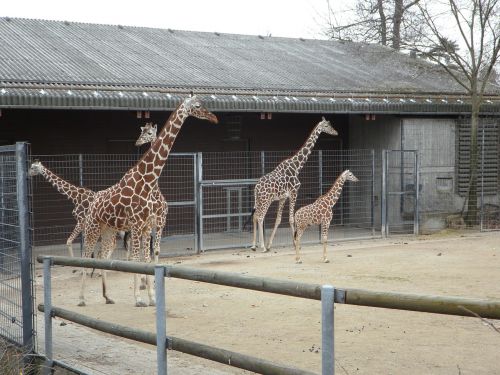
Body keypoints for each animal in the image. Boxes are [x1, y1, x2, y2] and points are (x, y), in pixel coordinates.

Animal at [80, 94, 217, 308]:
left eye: (149, 131)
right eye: (197, 105)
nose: (214, 117)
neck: (149, 180)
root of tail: (93, 202)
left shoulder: (147, 225)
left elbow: (147, 257)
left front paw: (152, 297)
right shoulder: (138, 225)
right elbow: (137, 258)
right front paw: (138, 297)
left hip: (109, 230)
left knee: (101, 256)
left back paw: (107, 296)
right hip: (93, 227)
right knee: (86, 256)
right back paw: (82, 298)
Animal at [252, 117, 338, 253]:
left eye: (329, 124)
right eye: (326, 126)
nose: (335, 132)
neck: (296, 167)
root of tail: (256, 187)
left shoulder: (282, 197)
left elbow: (278, 219)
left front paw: (271, 244)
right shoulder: (294, 192)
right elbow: (291, 218)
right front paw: (295, 243)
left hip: (259, 200)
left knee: (255, 215)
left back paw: (254, 245)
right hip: (266, 200)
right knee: (260, 217)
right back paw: (262, 247)